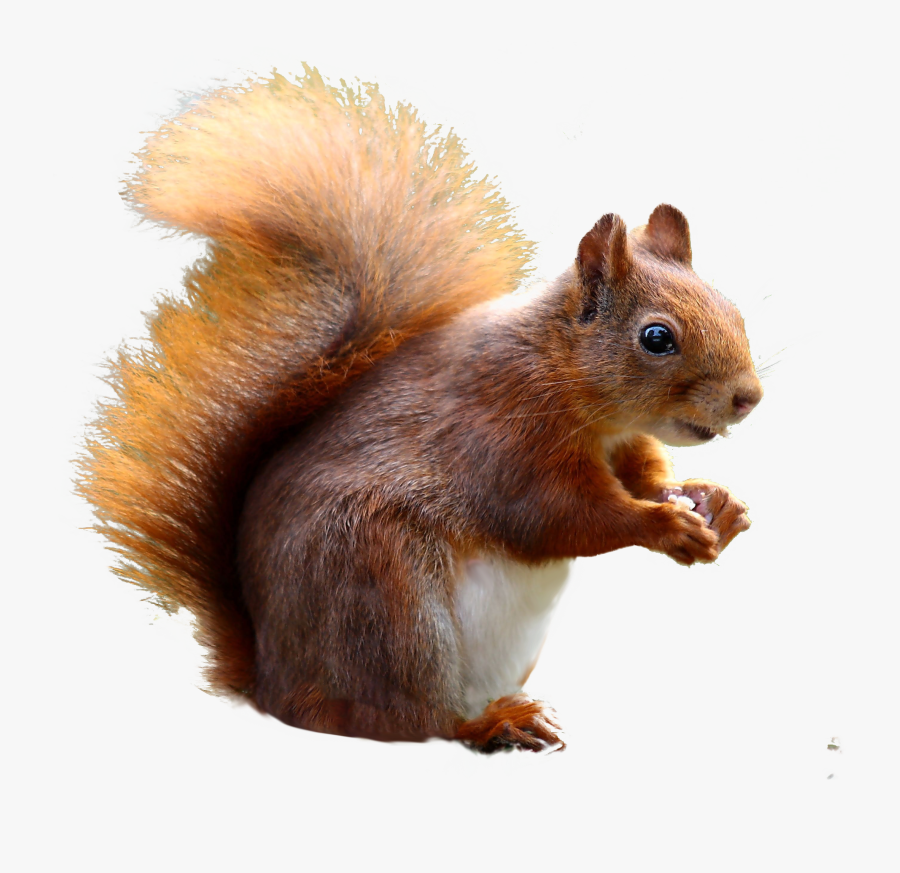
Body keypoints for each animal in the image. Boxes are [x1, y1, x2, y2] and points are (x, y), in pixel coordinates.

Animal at [78, 68, 763, 752]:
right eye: (657, 337)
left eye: (732, 307)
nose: (749, 397)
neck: (573, 387)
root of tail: (272, 687)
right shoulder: (504, 435)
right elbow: (562, 517)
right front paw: (665, 527)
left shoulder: (623, 443)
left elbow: (644, 477)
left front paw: (713, 502)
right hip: (385, 596)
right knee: (412, 720)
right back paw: (493, 723)